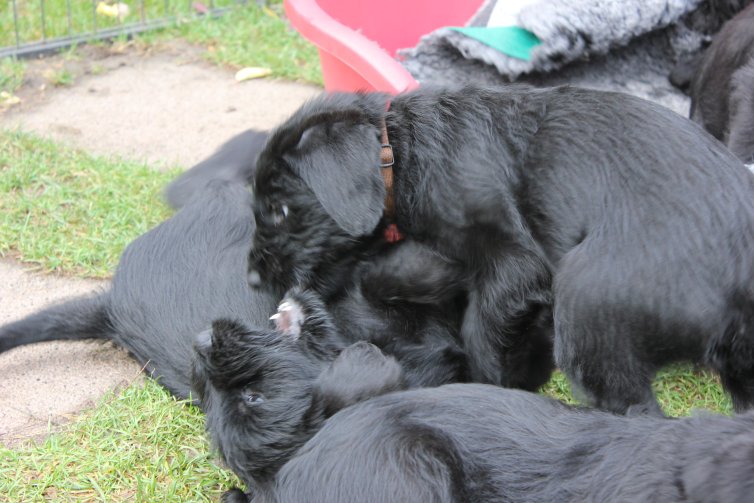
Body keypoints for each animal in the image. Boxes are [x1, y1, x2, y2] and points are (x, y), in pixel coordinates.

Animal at [250, 84, 752, 418]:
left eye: (279, 209)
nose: (254, 278)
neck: (400, 150)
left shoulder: (513, 261)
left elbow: (481, 328)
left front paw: (490, 384)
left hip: (587, 301)